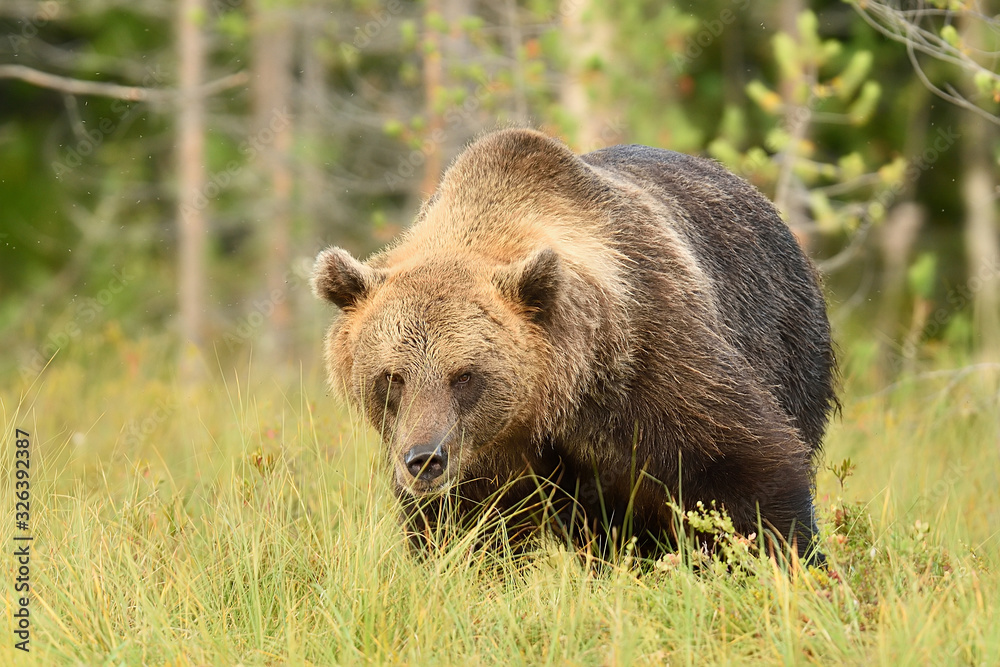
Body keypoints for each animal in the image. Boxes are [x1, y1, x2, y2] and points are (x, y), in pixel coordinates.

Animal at [310, 128, 836, 560]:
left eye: (465, 375)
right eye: (391, 377)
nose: (424, 459)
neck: (556, 401)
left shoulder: (654, 356)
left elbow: (746, 469)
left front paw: (788, 565)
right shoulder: (484, 460)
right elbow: (464, 533)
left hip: (789, 338)